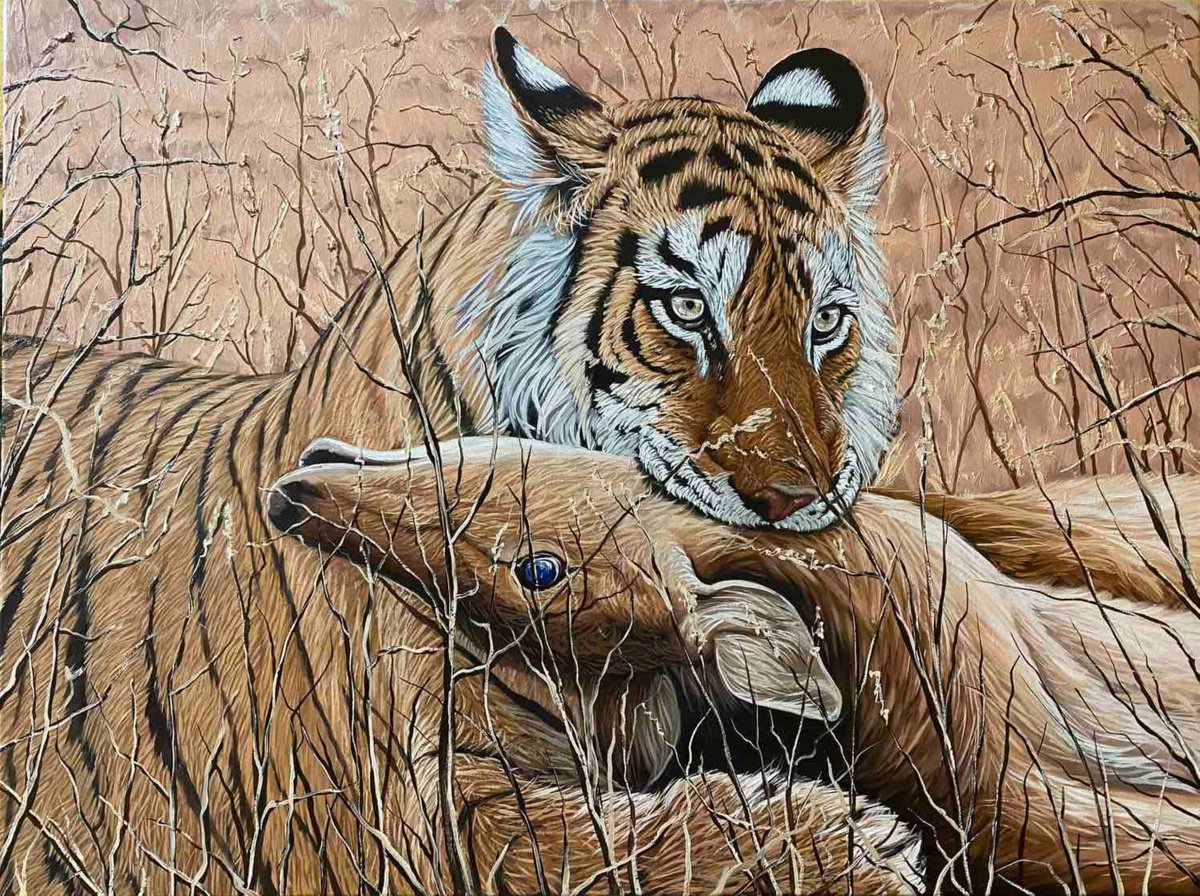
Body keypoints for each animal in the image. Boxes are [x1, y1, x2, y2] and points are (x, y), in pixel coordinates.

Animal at [0, 27, 919, 894]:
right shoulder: (435, 807)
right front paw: (869, 854)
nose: (796, 497)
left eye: (825, 321)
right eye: (689, 309)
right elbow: (668, 843)